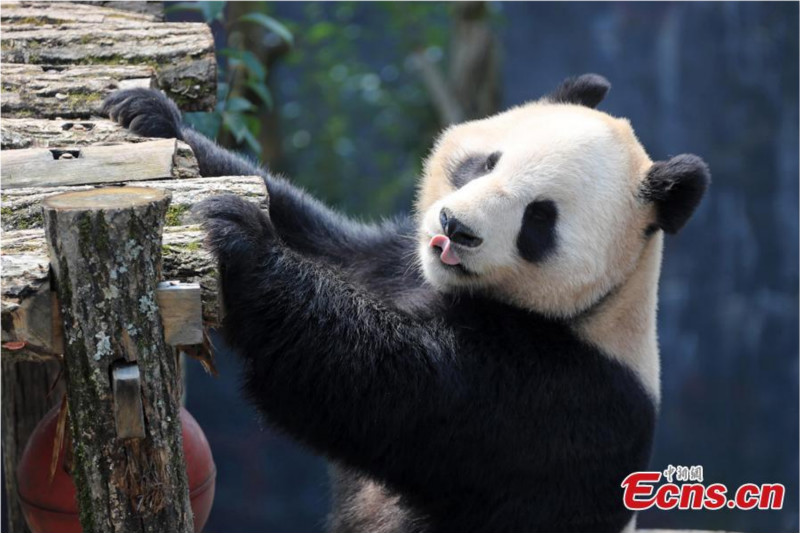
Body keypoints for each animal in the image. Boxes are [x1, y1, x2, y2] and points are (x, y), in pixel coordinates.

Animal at [103, 74, 709, 533]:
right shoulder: (393, 264)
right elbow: (320, 240)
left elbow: (379, 378)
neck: (601, 305)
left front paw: (240, 242)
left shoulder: (554, 398)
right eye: (487, 162)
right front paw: (149, 115)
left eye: (540, 217)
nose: (455, 227)